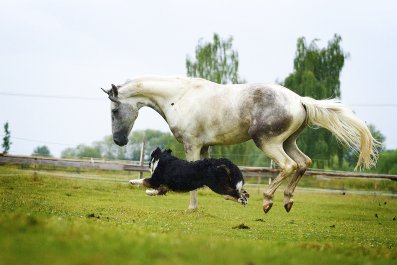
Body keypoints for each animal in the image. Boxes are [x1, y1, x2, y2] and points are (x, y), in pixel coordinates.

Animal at [101, 75, 378, 211]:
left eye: (114, 110)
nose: (119, 140)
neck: (179, 97)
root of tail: (300, 100)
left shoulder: (192, 144)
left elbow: (193, 179)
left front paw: (191, 209)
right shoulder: (205, 147)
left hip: (269, 143)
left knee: (288, 166)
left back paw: (267, 201)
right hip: (289, 142)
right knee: (303, 163)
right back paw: (287, 201)